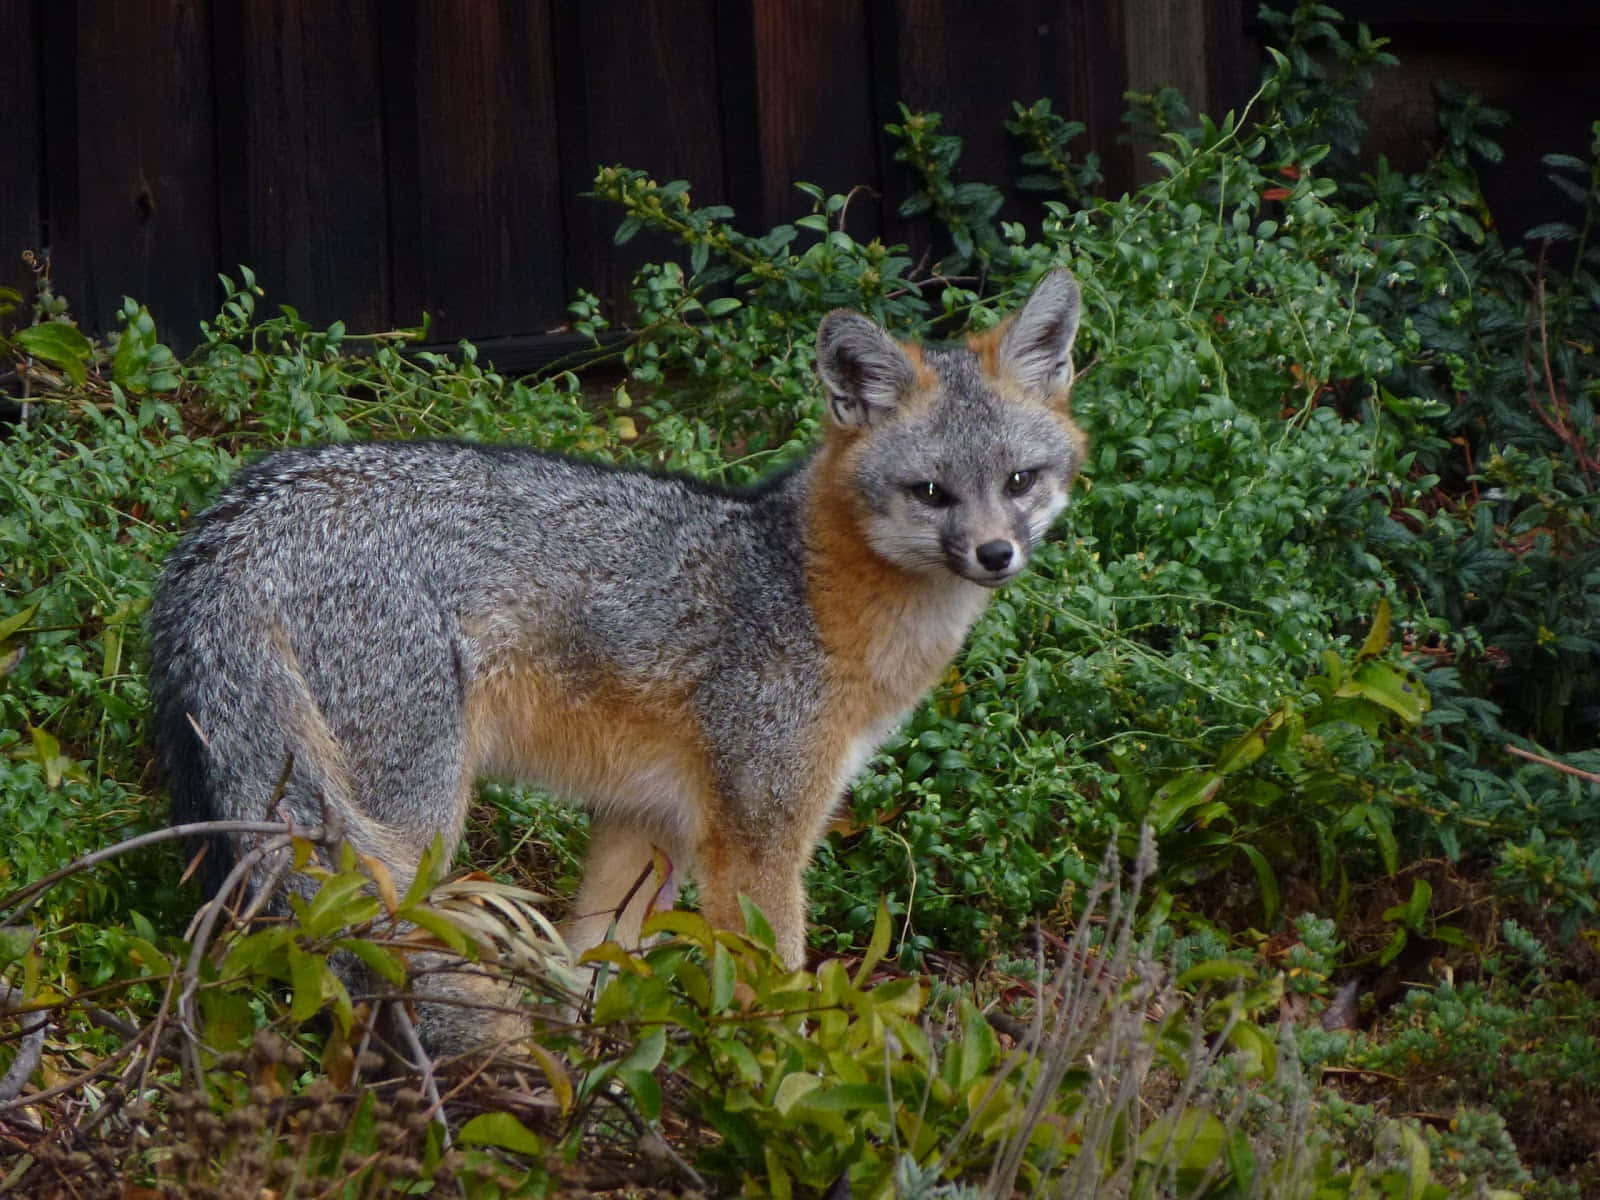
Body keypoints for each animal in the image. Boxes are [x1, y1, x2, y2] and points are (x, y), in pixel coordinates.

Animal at [148, 268, 1086, 1051]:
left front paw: (591, 1073)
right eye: (931, 493)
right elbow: (773, 989)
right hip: (410, 821)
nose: (996, 554)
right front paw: (779, 1088)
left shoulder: (647, 821)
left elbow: (595, 965)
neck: (806, 586)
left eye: (1020, 480)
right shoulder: (757, 840)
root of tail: (234, 524)